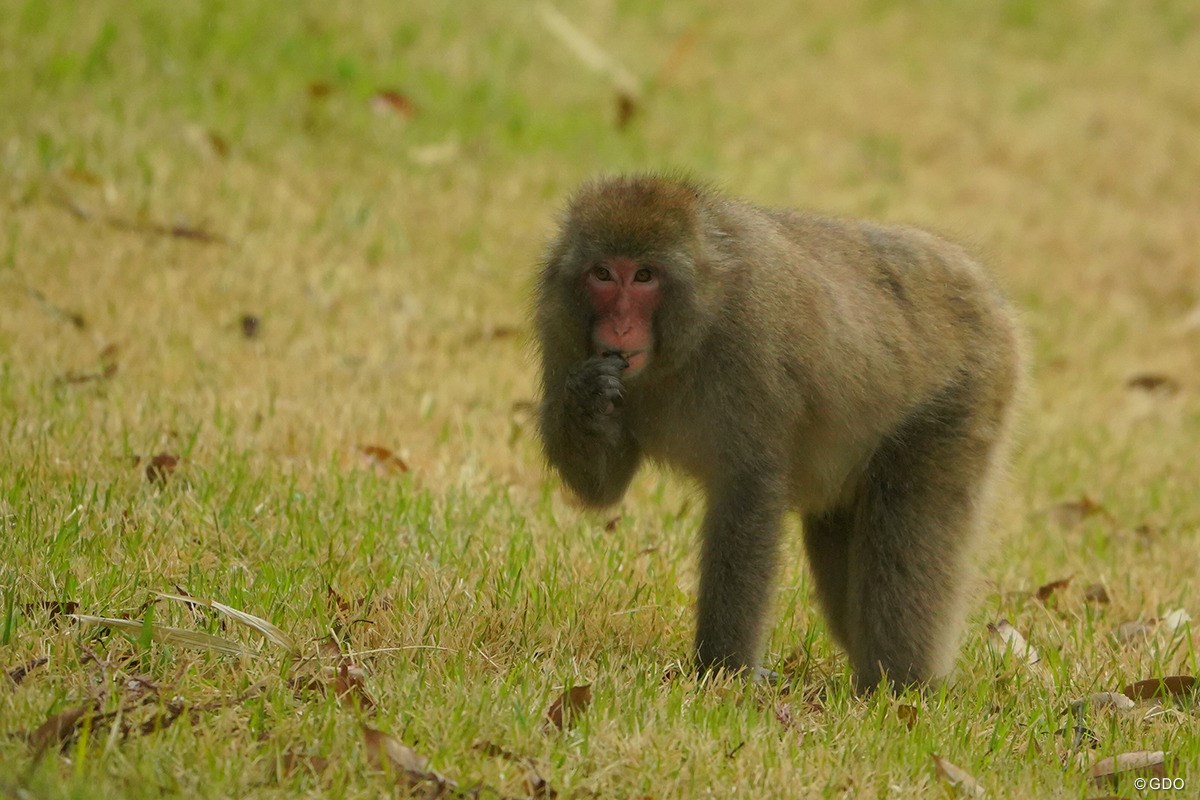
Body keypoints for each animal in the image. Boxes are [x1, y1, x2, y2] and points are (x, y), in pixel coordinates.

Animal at [534, 174, 1020, 691]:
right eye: (603, 274)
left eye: (645, 276)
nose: (621, 326)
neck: (689, 336)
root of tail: (982, 287)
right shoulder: (559, 329)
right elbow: (602, 489)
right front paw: (586, 399)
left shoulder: (750, 341)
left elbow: (749, 490)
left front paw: (723, 669)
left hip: (967, 395)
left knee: (905, 545)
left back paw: (901, 685)